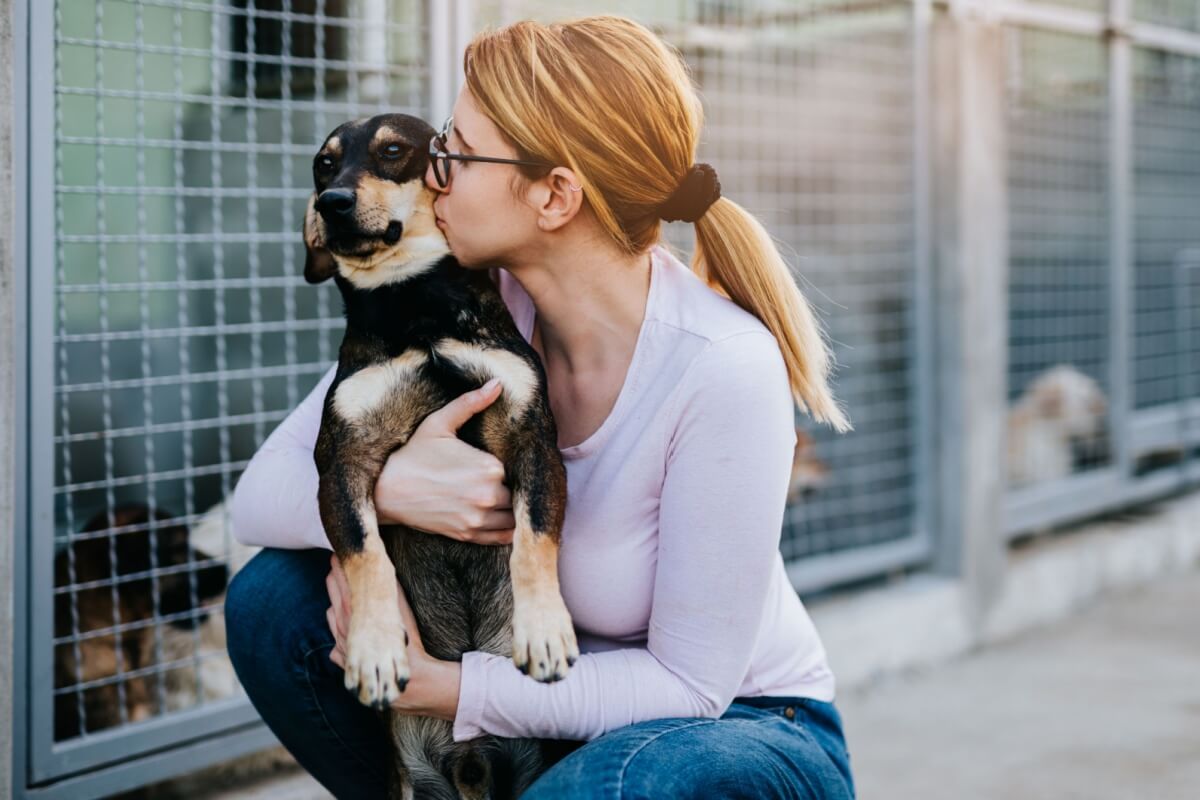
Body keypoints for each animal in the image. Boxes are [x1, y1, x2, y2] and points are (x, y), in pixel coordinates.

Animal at [302, 113, 578, 800]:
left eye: (393, 151)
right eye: (324, 164)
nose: (331, 203)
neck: (415, 309)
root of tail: (468, 763)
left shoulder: (535, 440)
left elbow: (535, 540)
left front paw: (544, 629)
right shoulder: (338, 464)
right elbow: (364, 555)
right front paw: (375, 648)